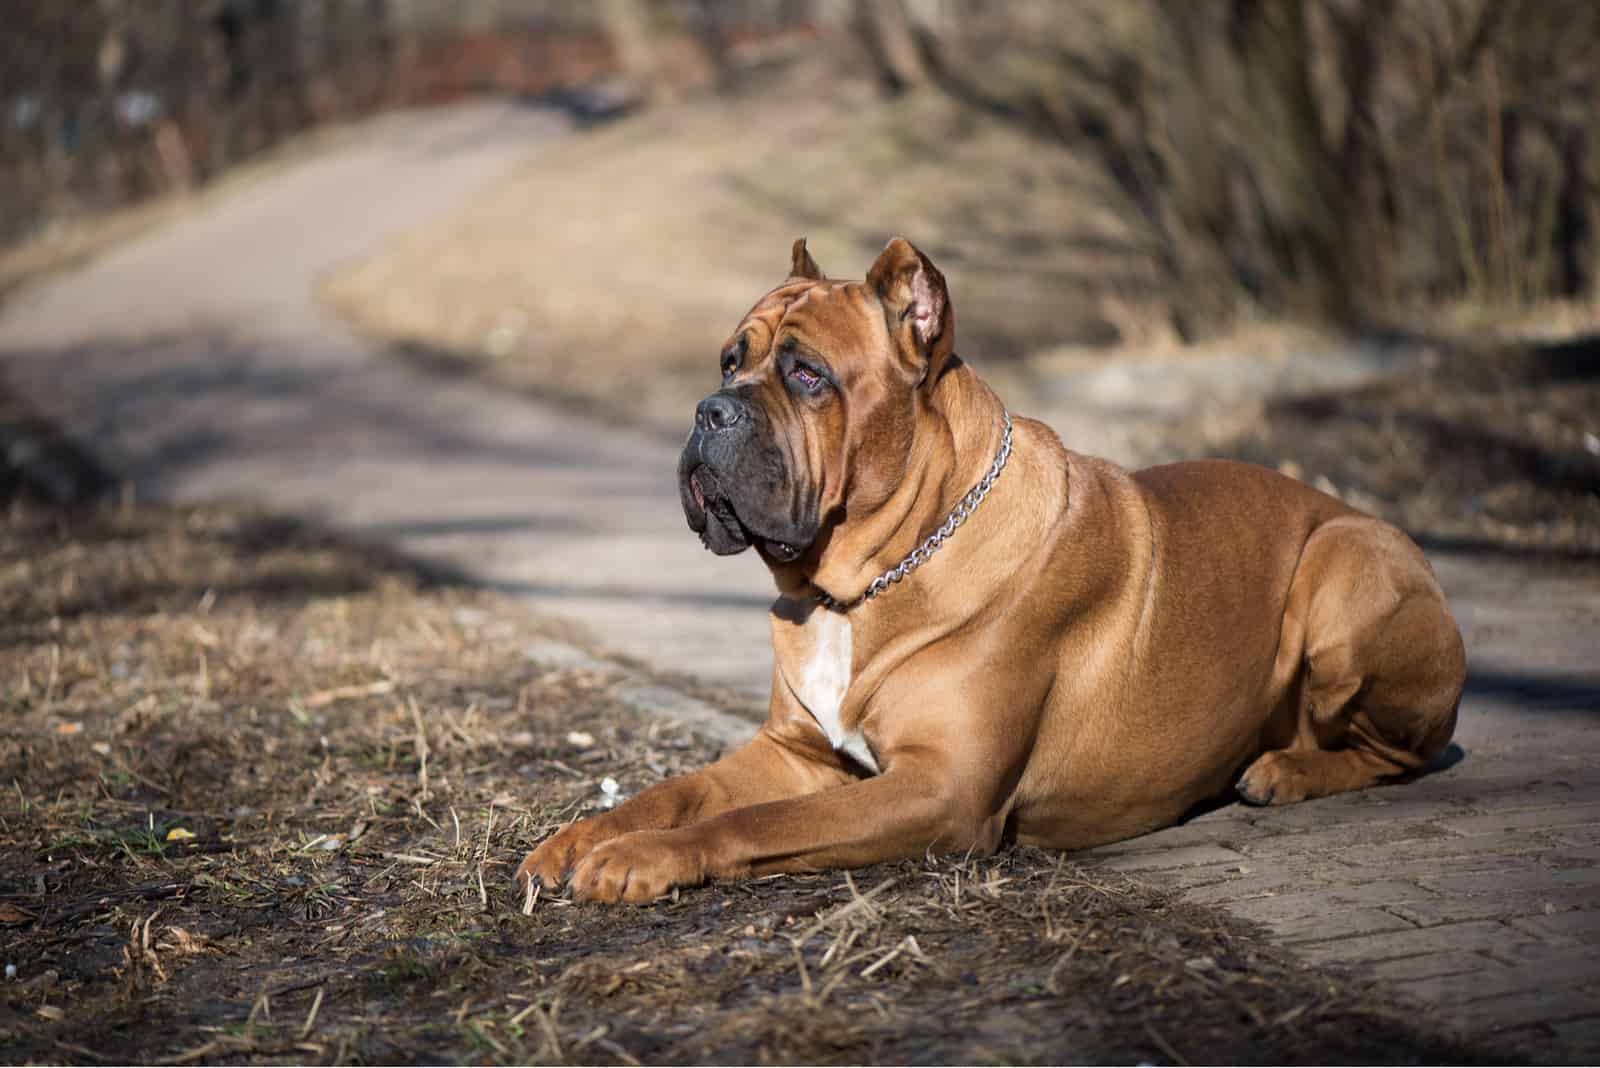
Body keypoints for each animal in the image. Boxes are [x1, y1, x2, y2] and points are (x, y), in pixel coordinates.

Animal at [515, 235, 1465, 901]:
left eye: (807, 374)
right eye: (728, 360)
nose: (709, 411)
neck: (862, 585)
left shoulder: (940, 787)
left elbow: (758, 821)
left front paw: (643, 858)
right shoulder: (791, 751)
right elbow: (676, 790)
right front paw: (584, 835)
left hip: (1343, 564)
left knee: (1403, 754)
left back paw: (1284, 771)